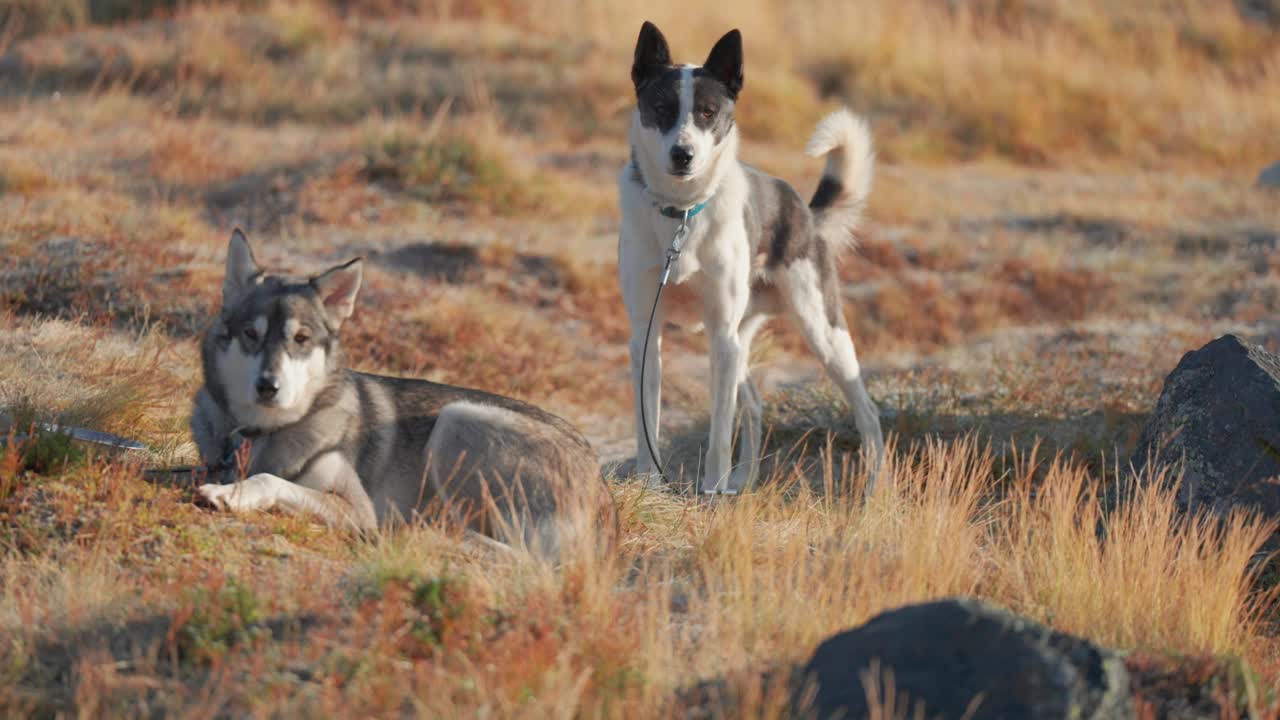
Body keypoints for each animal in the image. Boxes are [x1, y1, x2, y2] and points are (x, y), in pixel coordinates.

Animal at [616, 22, 880, 491]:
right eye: (662, 108)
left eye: (707, 112)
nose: (682, 155)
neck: (682, 213)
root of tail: (803, 210)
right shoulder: (646, 335)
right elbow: (647, 428)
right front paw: (650, 489)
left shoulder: (721, 335)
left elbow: (721, 432)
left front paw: (709, 492)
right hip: (745, 337)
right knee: (755, 404)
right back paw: (742, 482)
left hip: (819, 330)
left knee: (868, 412)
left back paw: (873, 492)